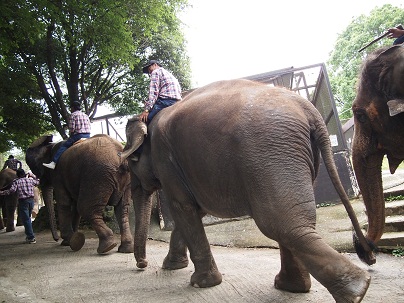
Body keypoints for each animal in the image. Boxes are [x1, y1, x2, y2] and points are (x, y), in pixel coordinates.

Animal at [120, 79, 376, 303]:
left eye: (130, 162)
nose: (142, 265)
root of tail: (307, 107)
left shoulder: (167, 163)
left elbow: (182, 208)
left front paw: (200, 283)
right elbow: (194, 211)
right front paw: (173, 267)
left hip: (270, 153)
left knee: (281, 224)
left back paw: (356, 291)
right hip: (292, 156)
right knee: (292, 223)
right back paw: (294, 287)